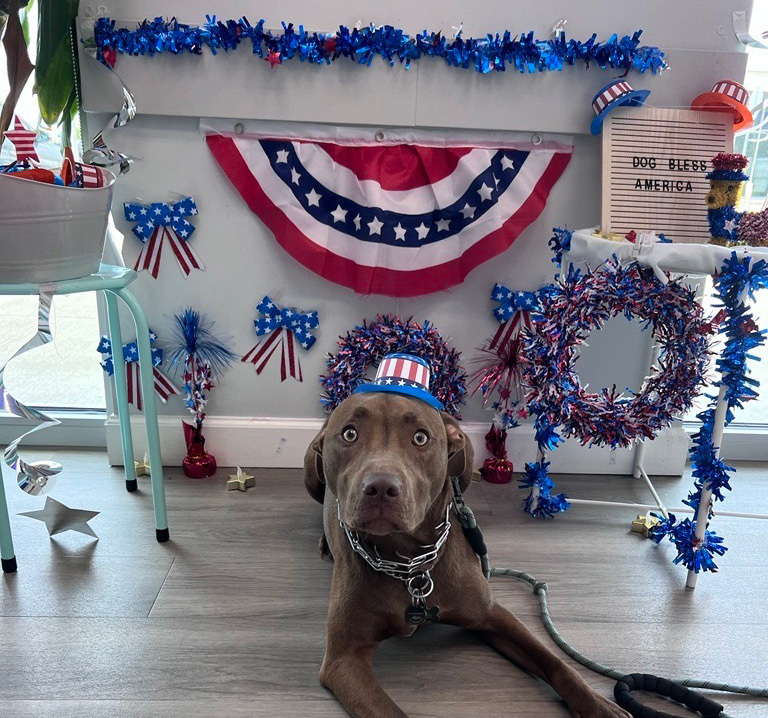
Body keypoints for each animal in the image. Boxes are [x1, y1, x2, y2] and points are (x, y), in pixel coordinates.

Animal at [304, 394, 632, 718]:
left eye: (420, 438)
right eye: (349, 434)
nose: (381, 487)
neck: (408, 564)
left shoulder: (492, 614)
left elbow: (556, 662)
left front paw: (599, 705)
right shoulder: (344, 659)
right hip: (312, 478)